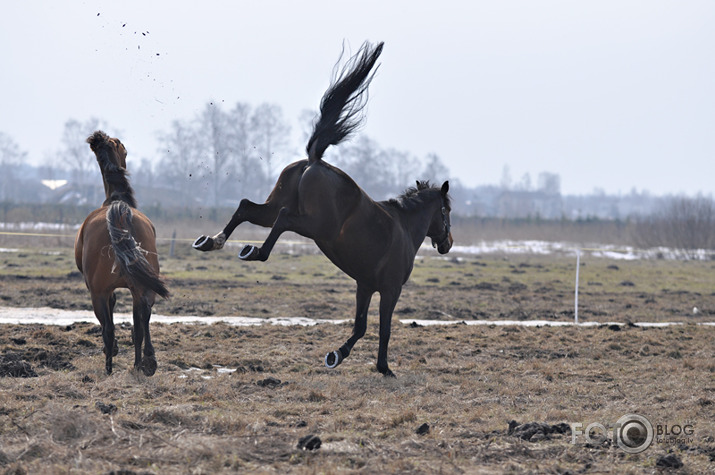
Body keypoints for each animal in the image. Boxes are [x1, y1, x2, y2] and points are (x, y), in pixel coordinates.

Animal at [75, 130, 170, 376]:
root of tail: (120, 210)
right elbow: (138, 323)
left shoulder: (103, 290)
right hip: (142, 287)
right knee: (142, 319)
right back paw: (145, 363)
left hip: (98, 293)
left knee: (108, 328)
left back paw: (109, 369)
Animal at [193, 41, 454, 378]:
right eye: (447, 211)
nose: (447, 243)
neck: (406, 230)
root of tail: (314, 161)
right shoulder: (389, 289)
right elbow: (382, 329)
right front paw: (383, 367)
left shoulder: (365, 286)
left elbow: (360, 326)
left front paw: (336, 355)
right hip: (315, 227)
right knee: (281, 220)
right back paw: (255, 252)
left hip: (276, 208)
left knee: (246, 207)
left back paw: (213, 242)